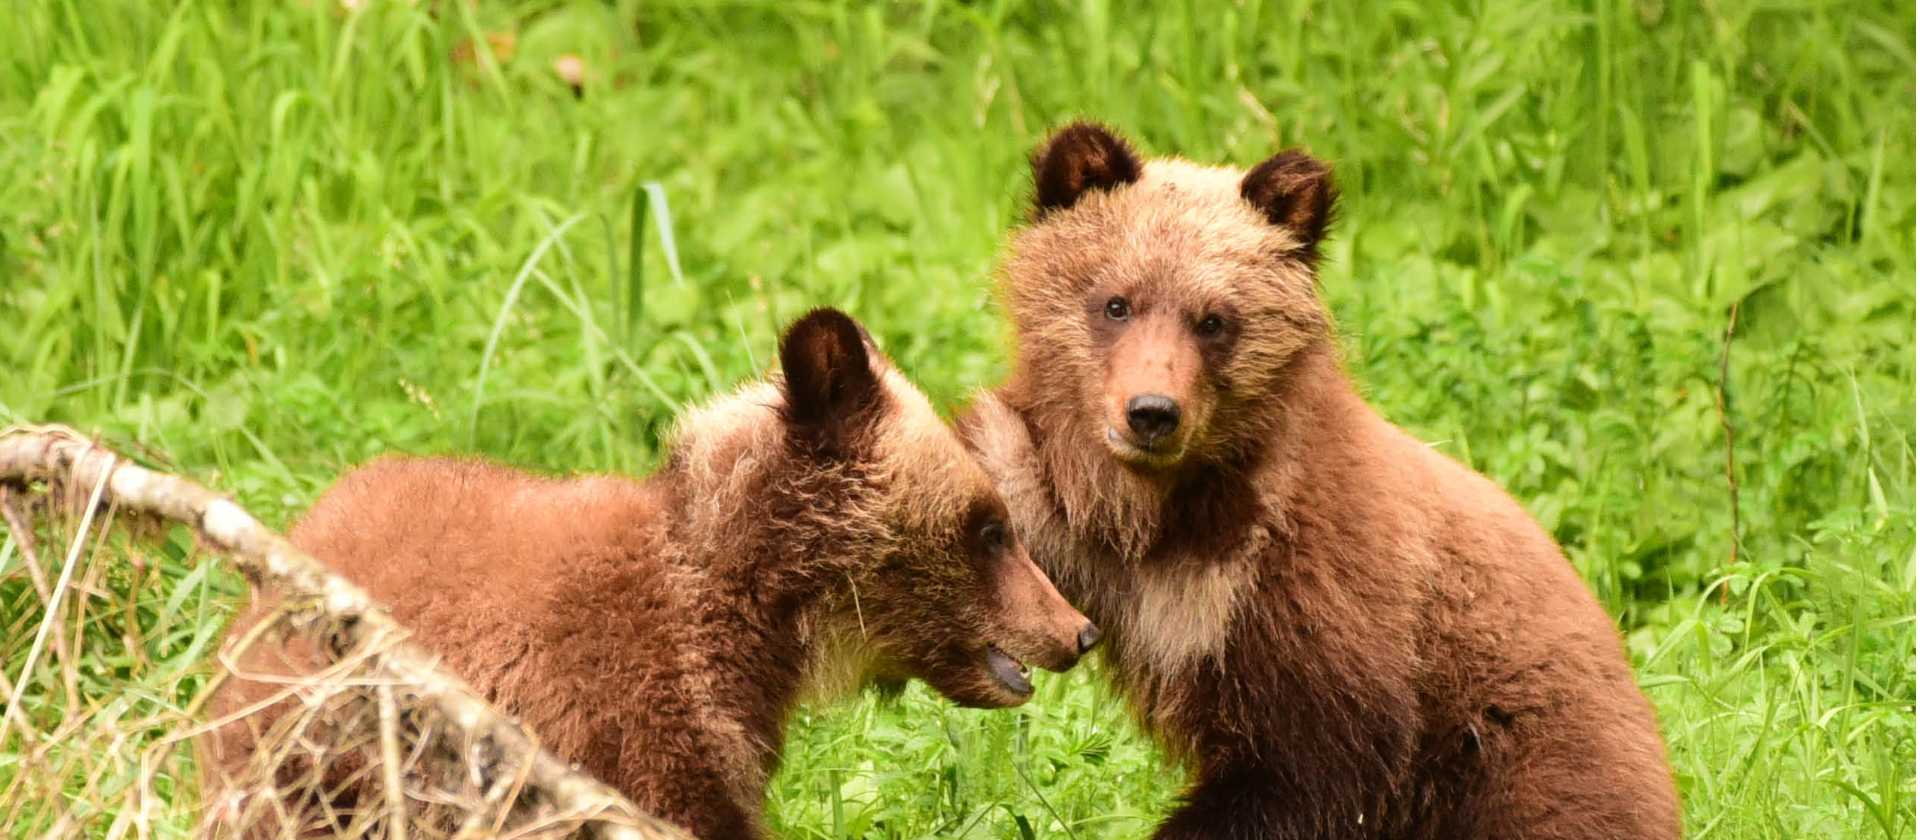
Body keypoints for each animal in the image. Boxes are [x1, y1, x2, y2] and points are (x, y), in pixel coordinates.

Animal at [959, 124, 1681, 840]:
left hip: (1530, 753)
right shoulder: (1068, 521)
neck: (1174, 513)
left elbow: (1313, 762)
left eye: (1214, 319)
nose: (1152, 413)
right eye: (1116, 302)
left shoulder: (1313, 591)